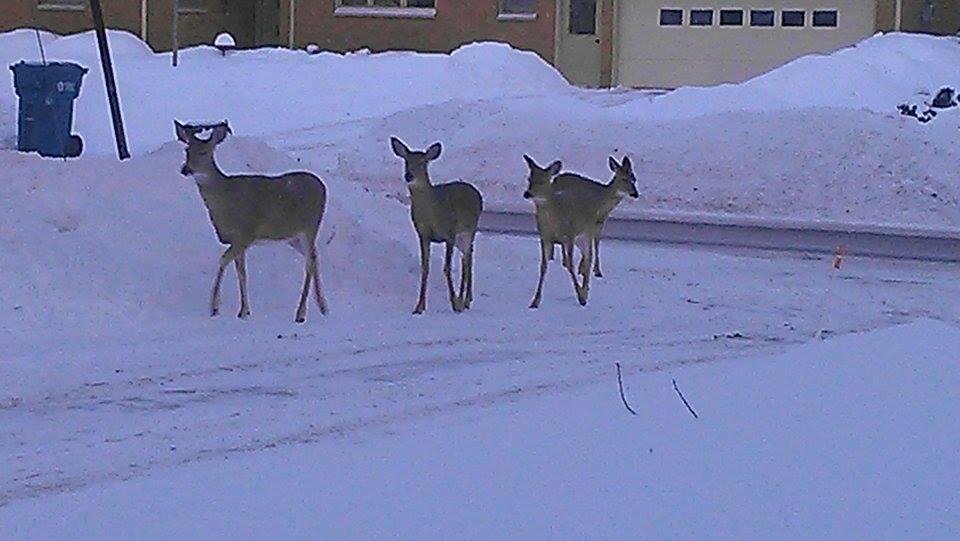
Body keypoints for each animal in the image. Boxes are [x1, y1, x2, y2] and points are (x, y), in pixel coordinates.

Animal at [175, 120, 328, 323]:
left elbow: (223, 261)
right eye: (187, 150)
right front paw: (244, 311)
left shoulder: (246, 233)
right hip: (292, 236)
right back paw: (322, 307)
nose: (186, 169)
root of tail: (323, 186)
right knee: (315, 257)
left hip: (310, 226)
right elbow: (242, 272)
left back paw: (301, 313)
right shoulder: (237, 240)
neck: (225, 198)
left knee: (309, 261)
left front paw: (214, 307)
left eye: (204, 152)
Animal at [390, 137, 483, 315]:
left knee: (468, 259)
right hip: (462, 236)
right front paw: (419, 307)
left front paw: (454, 303)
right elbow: (425, 268)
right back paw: (465, 300)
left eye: (423, 163)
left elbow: (447, 267)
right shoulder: (423, 235)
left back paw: (464, 301)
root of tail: (476, 191)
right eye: (406, 161)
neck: (432, 214)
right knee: (466, 259)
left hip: (469, 230)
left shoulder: (450, 233)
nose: (408, 175)